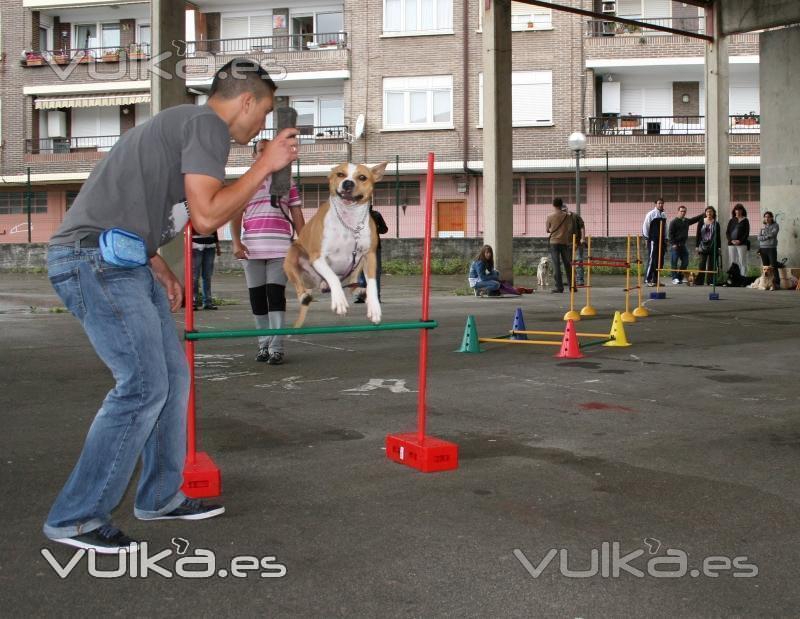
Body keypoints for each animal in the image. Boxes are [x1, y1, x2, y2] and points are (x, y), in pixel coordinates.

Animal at [286, 162, 390, 330]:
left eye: (362, 177)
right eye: (340, 174)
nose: (348, 183)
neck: (349, 220)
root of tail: (317, 284)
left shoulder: (369, 255)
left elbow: (372, 283)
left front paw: (374, 308)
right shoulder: (317, 257)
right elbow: (333, 277)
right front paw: (339, 301)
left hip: (358, 261)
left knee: (354, 280)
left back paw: (358, 290)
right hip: (293, 255)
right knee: (299, 284)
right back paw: (304, 295)